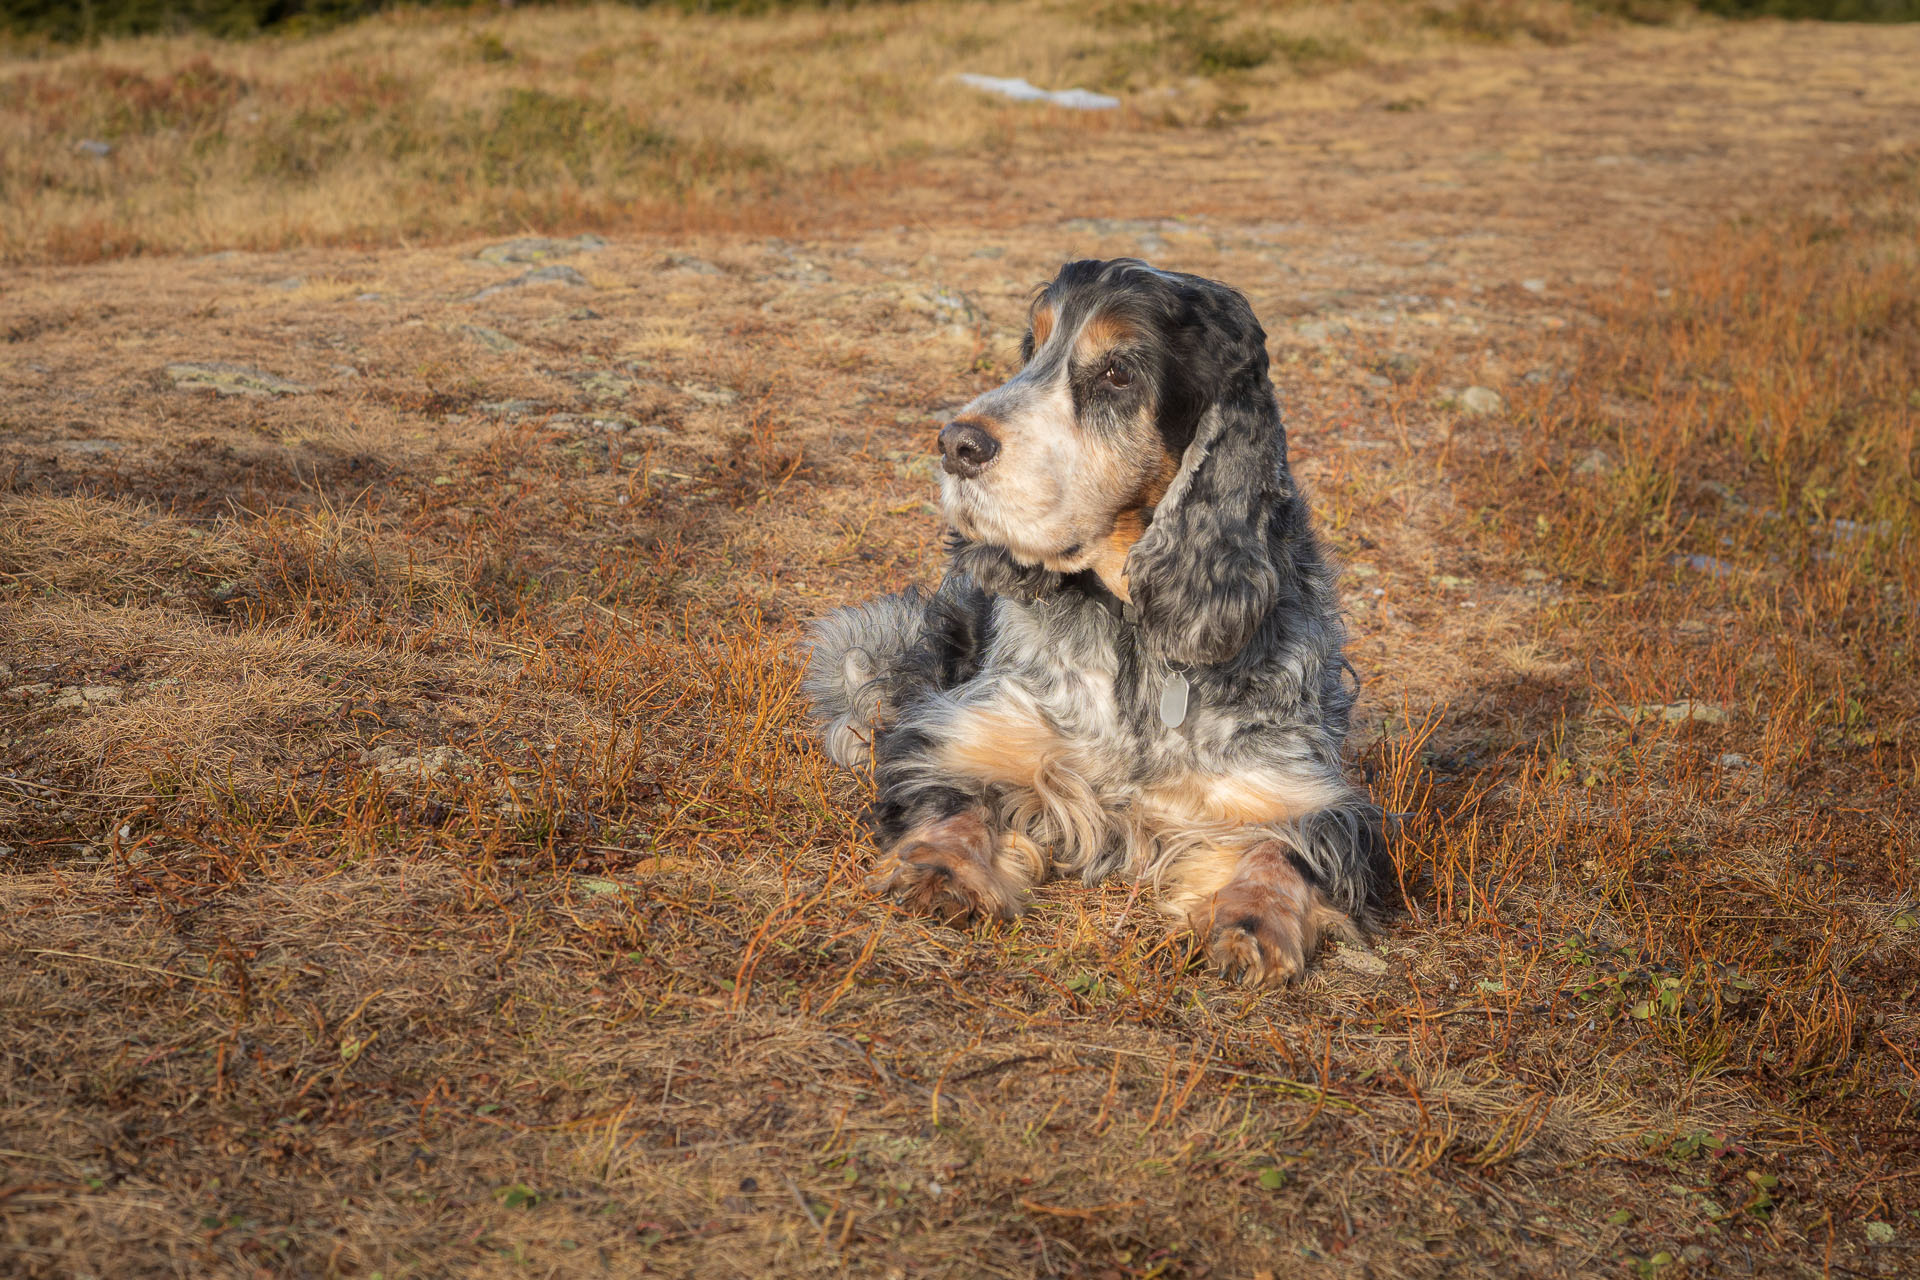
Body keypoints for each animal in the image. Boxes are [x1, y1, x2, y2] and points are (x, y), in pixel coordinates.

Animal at [802, 257, 1390, 982]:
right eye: (1032, 349)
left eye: (1116, 372)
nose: (955, 444)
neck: (1134, 629)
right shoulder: (964, 732)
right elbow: (954, 797)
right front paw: (941, 869)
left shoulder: (1302, 792)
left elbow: (1280, 848)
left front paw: (1253, 921)